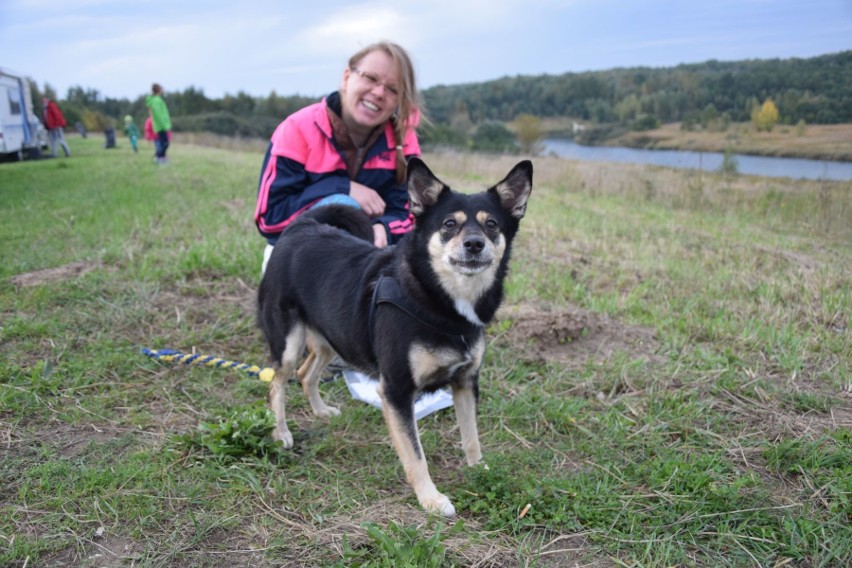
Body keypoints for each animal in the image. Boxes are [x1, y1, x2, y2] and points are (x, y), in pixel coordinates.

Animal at [256, 158, 532, 516]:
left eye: (492, 225)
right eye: (449, 224)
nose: (474, 244)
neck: (443, 301)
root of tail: (301, 226)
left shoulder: (466, 381)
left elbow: (471, 436)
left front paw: (480, 470)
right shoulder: (396, 391)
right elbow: (416, 455)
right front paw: (431, 499)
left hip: (334, 338)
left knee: (306, 373)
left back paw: (320, 411)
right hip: (289, 342)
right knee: (278, 382)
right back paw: (281, 432)